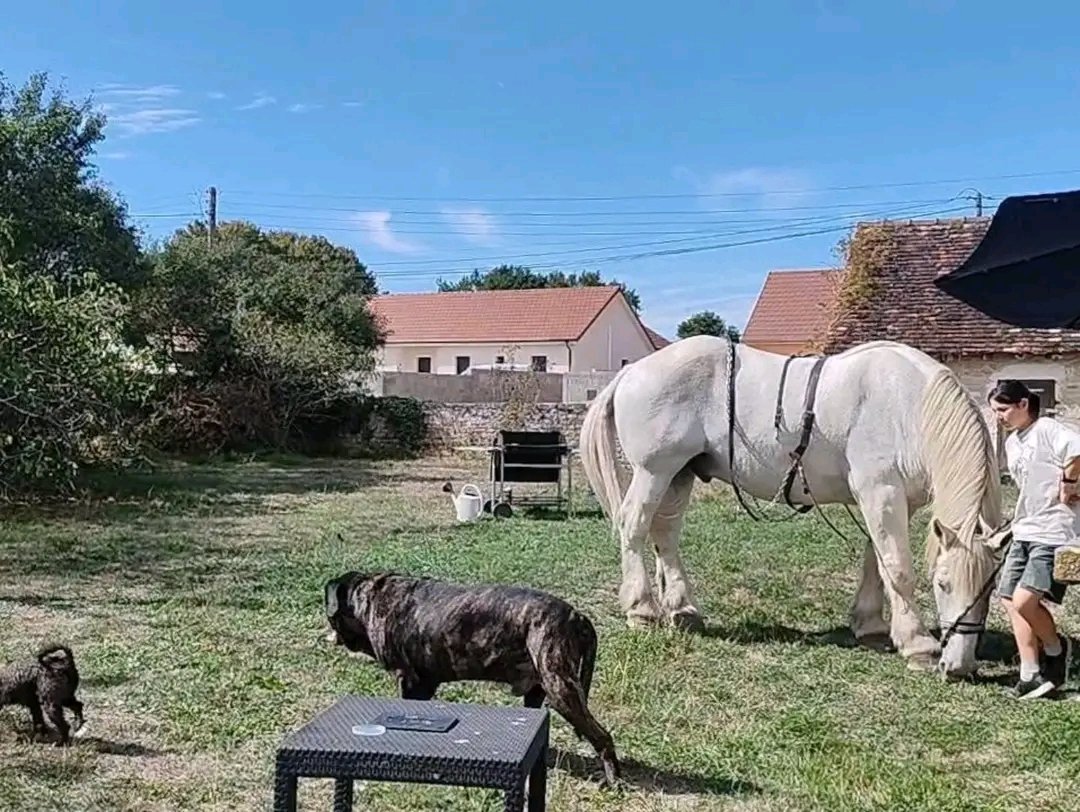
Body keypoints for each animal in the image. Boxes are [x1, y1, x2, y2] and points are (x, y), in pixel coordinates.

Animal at [578, 335, 1004, 679]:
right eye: (943, 584)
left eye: (990, 590)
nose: (960, 666)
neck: (908, 405)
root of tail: (631, 372)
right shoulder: (880, 492)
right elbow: (897, 569)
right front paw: (917, 644)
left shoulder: (891, 500)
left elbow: (876, 561)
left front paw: (870, 625)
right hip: (654, 470)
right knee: (634, 525)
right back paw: (642, 610)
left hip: (680, 473)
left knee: (664, 532)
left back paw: (683, 610)